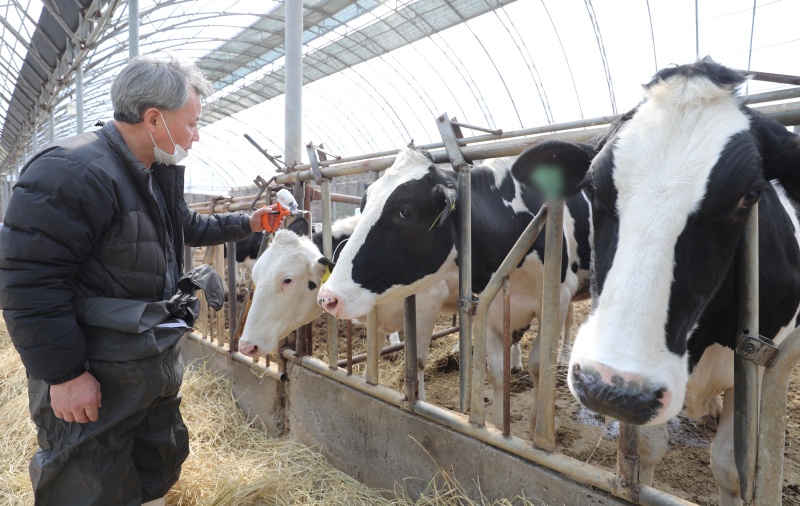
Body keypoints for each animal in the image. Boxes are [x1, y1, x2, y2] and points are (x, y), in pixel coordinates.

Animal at [316, 150, 592, 430]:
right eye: (364, 205)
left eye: (406, 211)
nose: (328, 297)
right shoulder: (489, 306)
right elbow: (496, 370)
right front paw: (499, 427)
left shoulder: (555, 299)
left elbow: (538, 366)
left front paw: (538, 427)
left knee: (569, 322)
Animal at [512, 60, 800, 506]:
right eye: (592, 185)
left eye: (750, 196)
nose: (611, 388)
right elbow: (647, 450)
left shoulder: (757, 368)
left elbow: (731, 468)